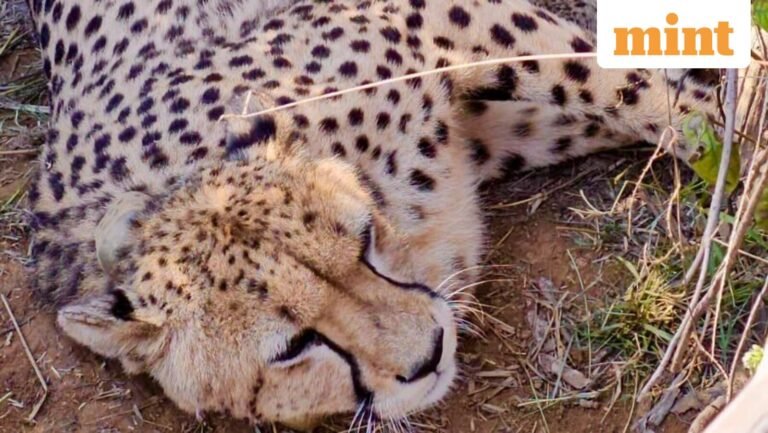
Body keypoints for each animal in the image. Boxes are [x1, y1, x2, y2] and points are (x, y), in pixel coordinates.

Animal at [25, 0, 722, 429]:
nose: (431, 354)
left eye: (362, 240)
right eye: (293, 347)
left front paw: (734, 150)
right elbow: (624, 95)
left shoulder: (432, 21)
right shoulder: (503, 126)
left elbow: (627, 86)